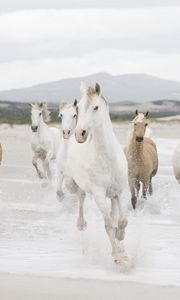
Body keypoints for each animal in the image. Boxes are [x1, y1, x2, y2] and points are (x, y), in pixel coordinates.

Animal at [64, 83, 128, 264]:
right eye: (78, 108)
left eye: (96, 107)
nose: (80, 134)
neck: (107, 158)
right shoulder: (99, 193)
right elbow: (108, 225)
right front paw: (119, 256)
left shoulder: (121, 191)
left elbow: (122, 221)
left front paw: (121, 240)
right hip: (73, 185)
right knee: (81, 196)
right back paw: (81, 224)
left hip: (113, 196)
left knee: (114, 214)